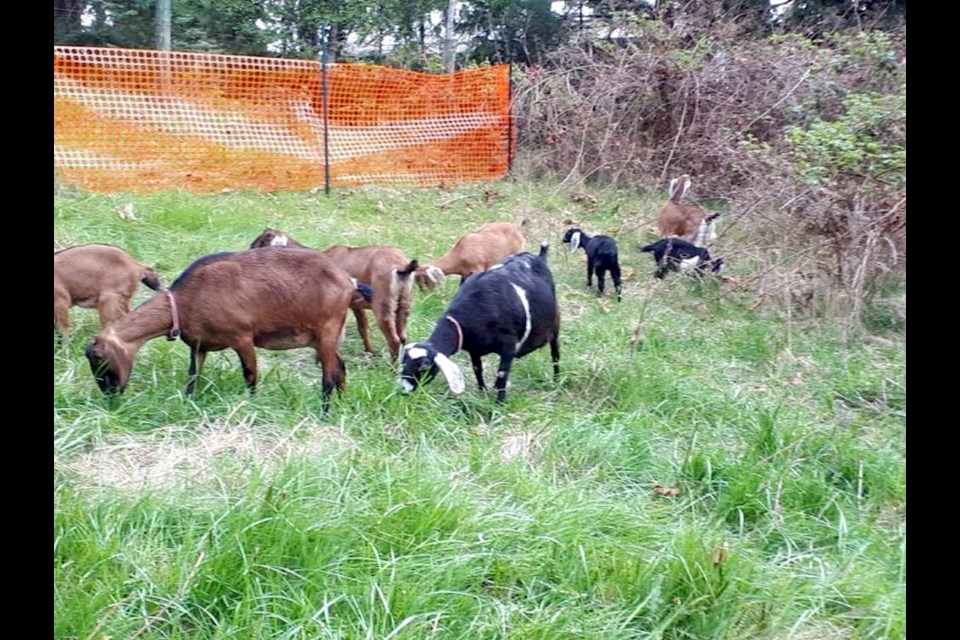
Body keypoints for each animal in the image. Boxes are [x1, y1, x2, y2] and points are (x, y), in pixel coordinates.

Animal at [85, 248, 372, 412]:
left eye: (98, 357)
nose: (110, 395)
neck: (187, 300)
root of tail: (348, 281)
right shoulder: (199, 346)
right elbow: (193, 376)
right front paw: (188, 404)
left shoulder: (242, 337)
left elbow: (250, 375)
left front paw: (252, 405)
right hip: (321, 337)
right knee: (340, 368)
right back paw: (342, 405)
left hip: (327, 328)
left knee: (328, 376)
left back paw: (324, 412)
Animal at [249, 229, 418, 360]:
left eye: (259, 243)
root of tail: (402, 267)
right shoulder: (355, 305)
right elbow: (363, 327)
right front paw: (370, 352)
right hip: (404, 302)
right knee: (402, 337)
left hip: (383, 305)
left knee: (394, 340)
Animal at [398, 242, 564, 402]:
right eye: (403, 361)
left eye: (424, 365)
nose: (403, 389)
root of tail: (539, 257)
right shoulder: (474, 348)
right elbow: (477, 368)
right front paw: (482, 392)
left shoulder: (509, 344)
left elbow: (502, 374)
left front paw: (499, 404)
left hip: (555, 326)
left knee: (555, 354)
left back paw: (556, 380)